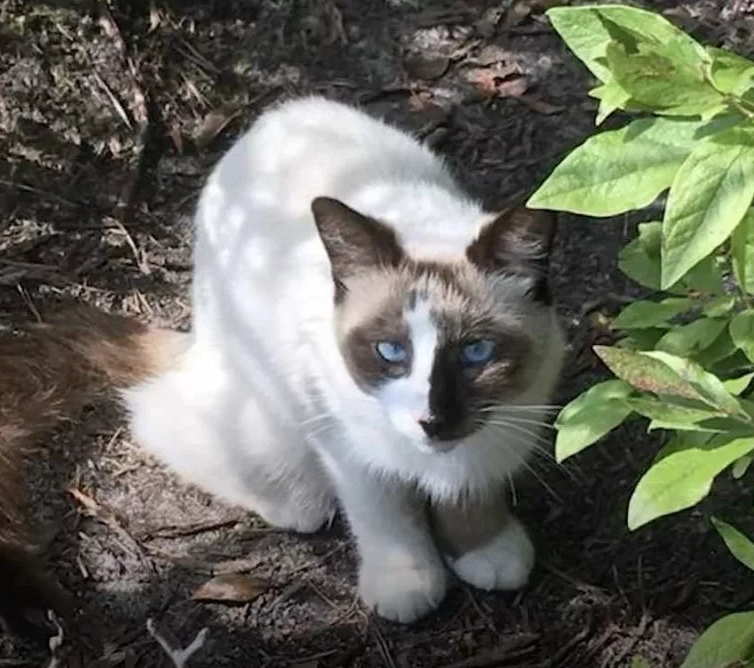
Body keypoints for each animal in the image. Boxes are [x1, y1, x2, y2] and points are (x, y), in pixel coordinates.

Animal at [121, 96, 565, 623]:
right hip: (268, 419)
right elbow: (384, 515)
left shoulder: (496, 428)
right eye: (390, 351)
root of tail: (274, 115)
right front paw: (407, 585)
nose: (432, 420)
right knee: (167, 424)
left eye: (476, 352)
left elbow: (470, 491)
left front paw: (486, 551)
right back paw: (296, 503)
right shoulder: (346, 442)